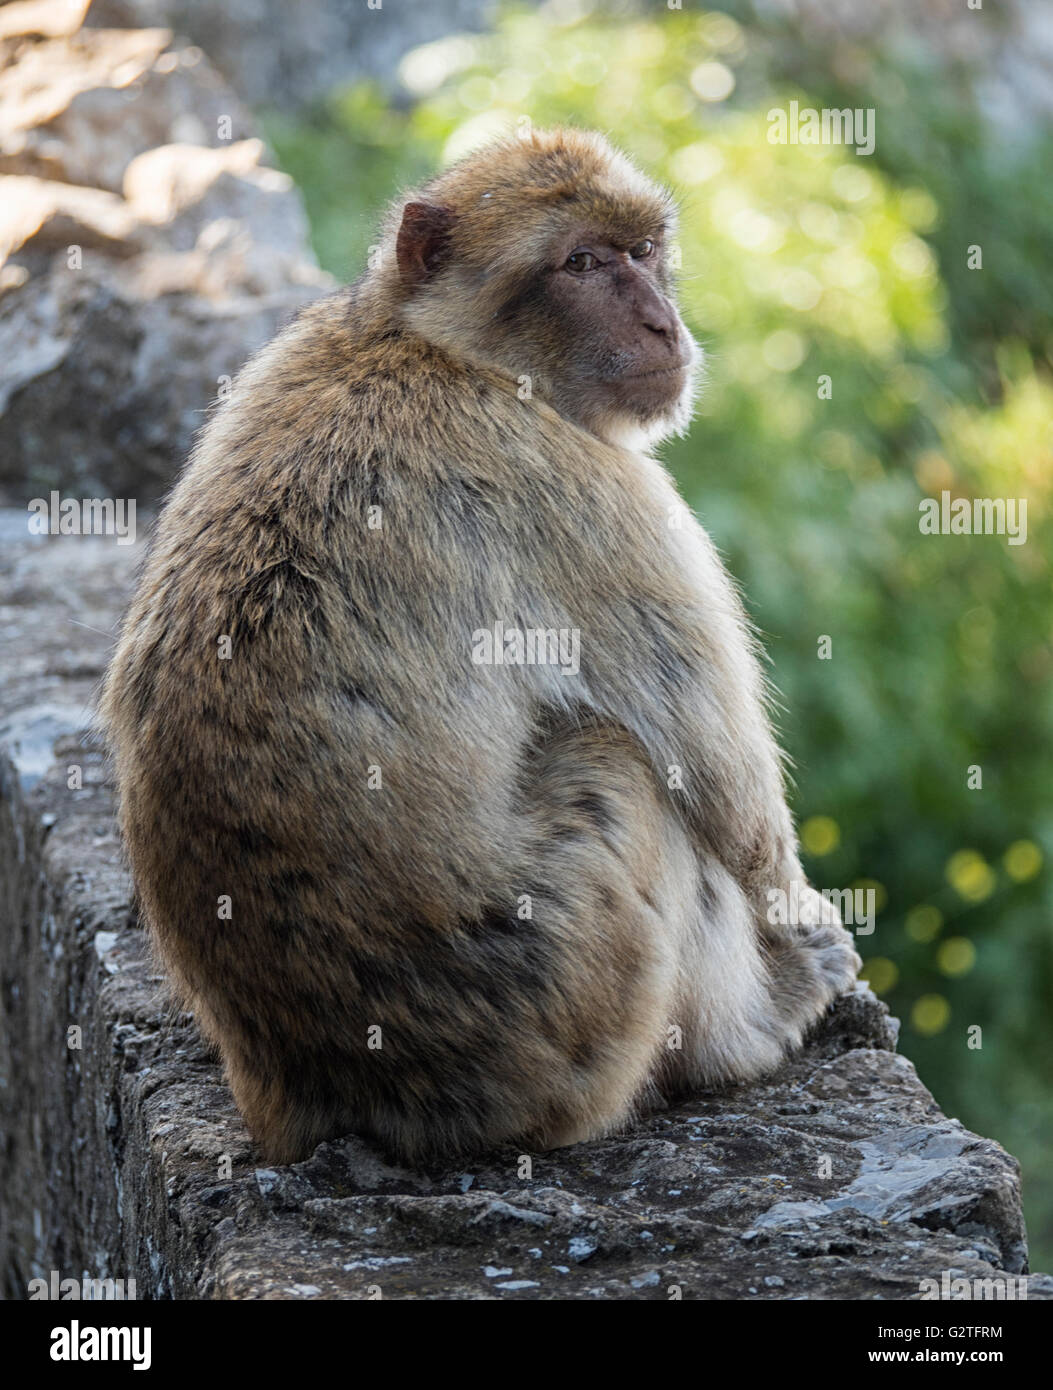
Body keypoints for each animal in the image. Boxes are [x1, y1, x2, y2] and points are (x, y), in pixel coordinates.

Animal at [98, 130, 861, 1167]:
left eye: (643, 250)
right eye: (581, 263)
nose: (663, 324)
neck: (432, 347)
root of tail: (324, 1093)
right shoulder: (595, 493)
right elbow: (723, 791)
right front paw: (803, 929)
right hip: (557, 1004)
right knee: (623, 772)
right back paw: (749, 1031)